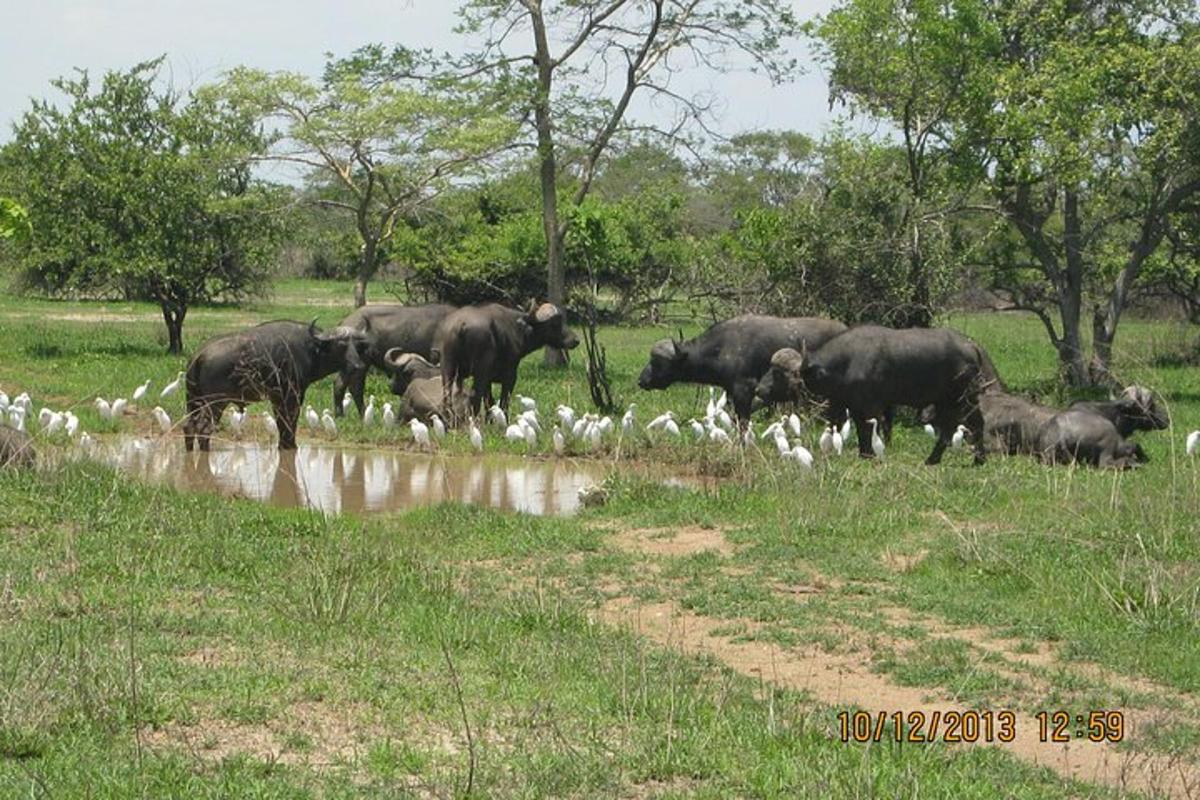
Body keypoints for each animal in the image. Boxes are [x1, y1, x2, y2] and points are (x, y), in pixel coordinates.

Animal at [182, 321, 367, 453]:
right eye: (341, 345)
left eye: (357, 346)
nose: (358, 366)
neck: (311, 349)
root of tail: (200, 355)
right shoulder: (292, 396)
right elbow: (290, 421)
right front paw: (291, 445)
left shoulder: (277, 398)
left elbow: (281, 423)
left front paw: (284, 445)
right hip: (215, 403)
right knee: (204, 428)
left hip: (193, 401)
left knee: (189, 427)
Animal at [432, 302, 580, 422]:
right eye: (555, 323)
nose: (576, 340)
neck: (518, 329)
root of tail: (460, 326)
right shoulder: (510, 376)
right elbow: (504, 401)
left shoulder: (488, 380)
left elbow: (490, 401)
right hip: (480, 370)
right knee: (475, 397)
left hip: (447, 368)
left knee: (447, 396)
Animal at [633, 316, 849, 422]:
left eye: (657, 361)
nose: (642, 381)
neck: (721, 348)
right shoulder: (730, 391)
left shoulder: (744, 390)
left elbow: (742, 421)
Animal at [763, 323, 988, 462]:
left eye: (778, 372)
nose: (760, 389)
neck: (845, 363)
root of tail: (972, 347)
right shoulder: (855, 407)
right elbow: (862, 432)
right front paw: (864, 454)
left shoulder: (871, 407)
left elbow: (867, 430)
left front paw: (869, 455)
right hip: (949, 400)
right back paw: (936, 459)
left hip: (962, 398)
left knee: (974, 423)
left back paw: (977, 459)